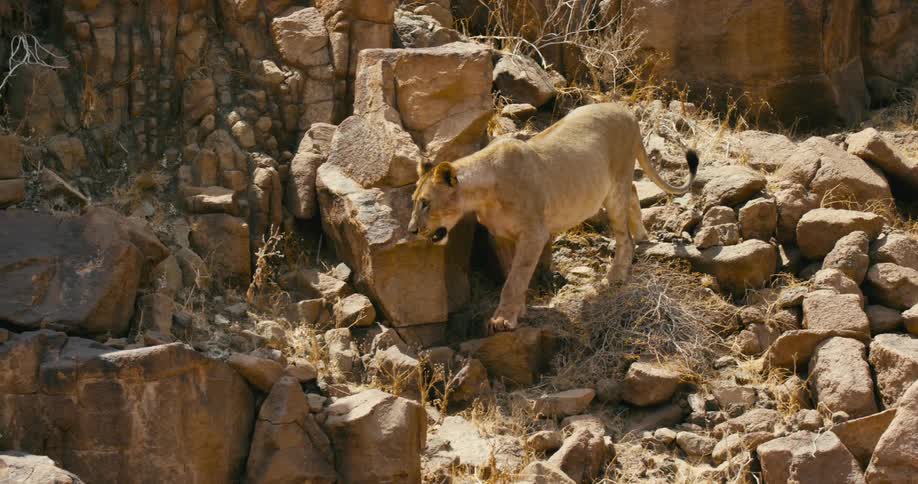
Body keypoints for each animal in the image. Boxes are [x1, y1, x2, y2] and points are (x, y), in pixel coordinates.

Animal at [408, 102, 699, 334]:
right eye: (415, 201)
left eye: (425, 203)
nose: (411, 230)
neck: (483, 193)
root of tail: (626, 111)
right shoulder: (501, 235)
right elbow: (511, 273)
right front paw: (518, 309)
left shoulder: (535, 233)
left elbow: (515, 278)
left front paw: (503, 319)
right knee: (635, 192)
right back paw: (642, 234)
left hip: (615, 186)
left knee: (623, 234)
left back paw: (616, 275)